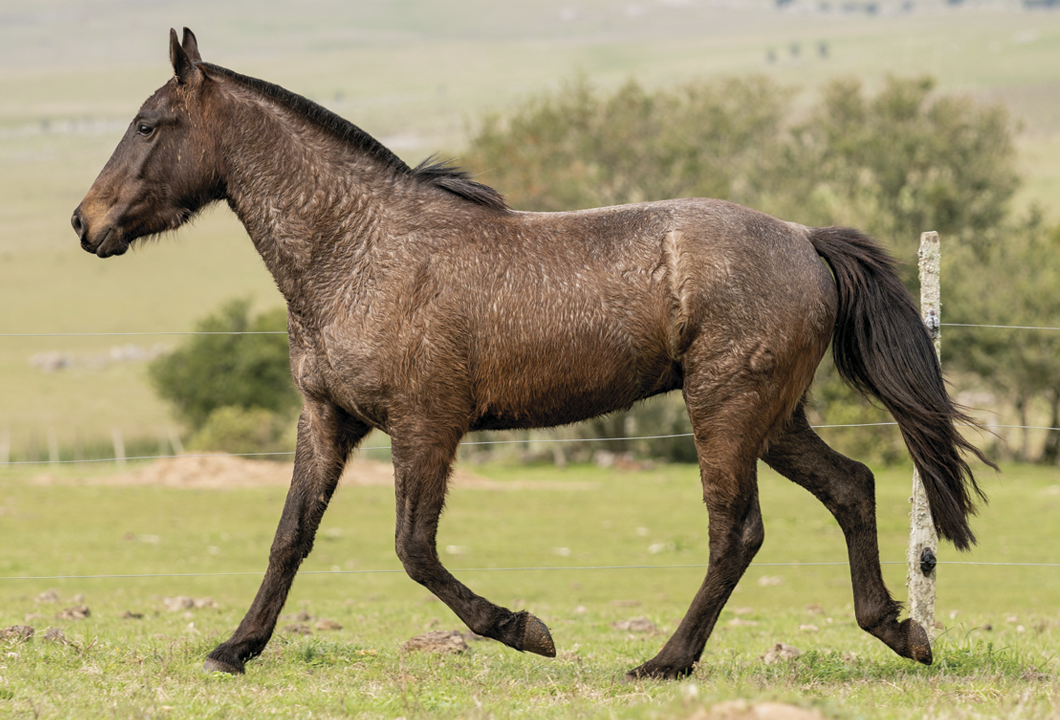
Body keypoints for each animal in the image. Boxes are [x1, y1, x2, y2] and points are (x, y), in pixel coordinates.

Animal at [74, 29, 992, 682]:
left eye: (148, 124)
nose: (86, 223)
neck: (359, 250)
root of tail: (805, 239)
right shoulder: (328, 420)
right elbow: (290, 536)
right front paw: (234, 648)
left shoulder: (427, 425)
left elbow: (414, 549)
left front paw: (525, 631)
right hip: (774, 418)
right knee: (852, 485)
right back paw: (900, 631)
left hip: (727, 412)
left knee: (737, 532)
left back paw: (664, 662)